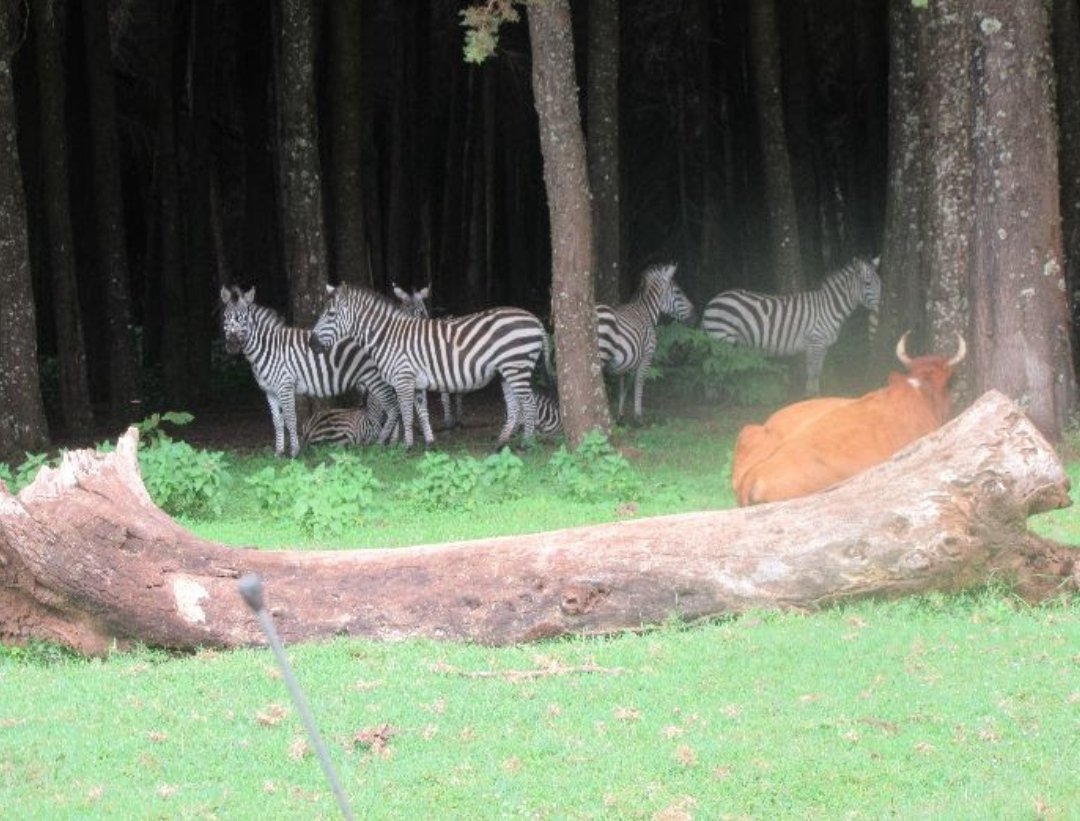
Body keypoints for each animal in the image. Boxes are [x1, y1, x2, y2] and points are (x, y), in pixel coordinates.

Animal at [219, 287, 401, 455]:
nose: (232, 345)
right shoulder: (270, 391)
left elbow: (290, 419)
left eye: (243, 319)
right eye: (225, 318)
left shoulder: (285, 386)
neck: (268, 349)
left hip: (376, 379)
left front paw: (294, 452)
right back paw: (393, 443)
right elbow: (277, 421)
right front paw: (278, 452)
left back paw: (387, 443)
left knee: (393, 406)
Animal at [596, 262, 695, 425]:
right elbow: (639, 385)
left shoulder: (626, 363)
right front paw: (638, 417)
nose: (695, 315)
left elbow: (623, 388)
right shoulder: (646, 357)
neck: (646, 312)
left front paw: (620, 416)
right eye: (678, 292)